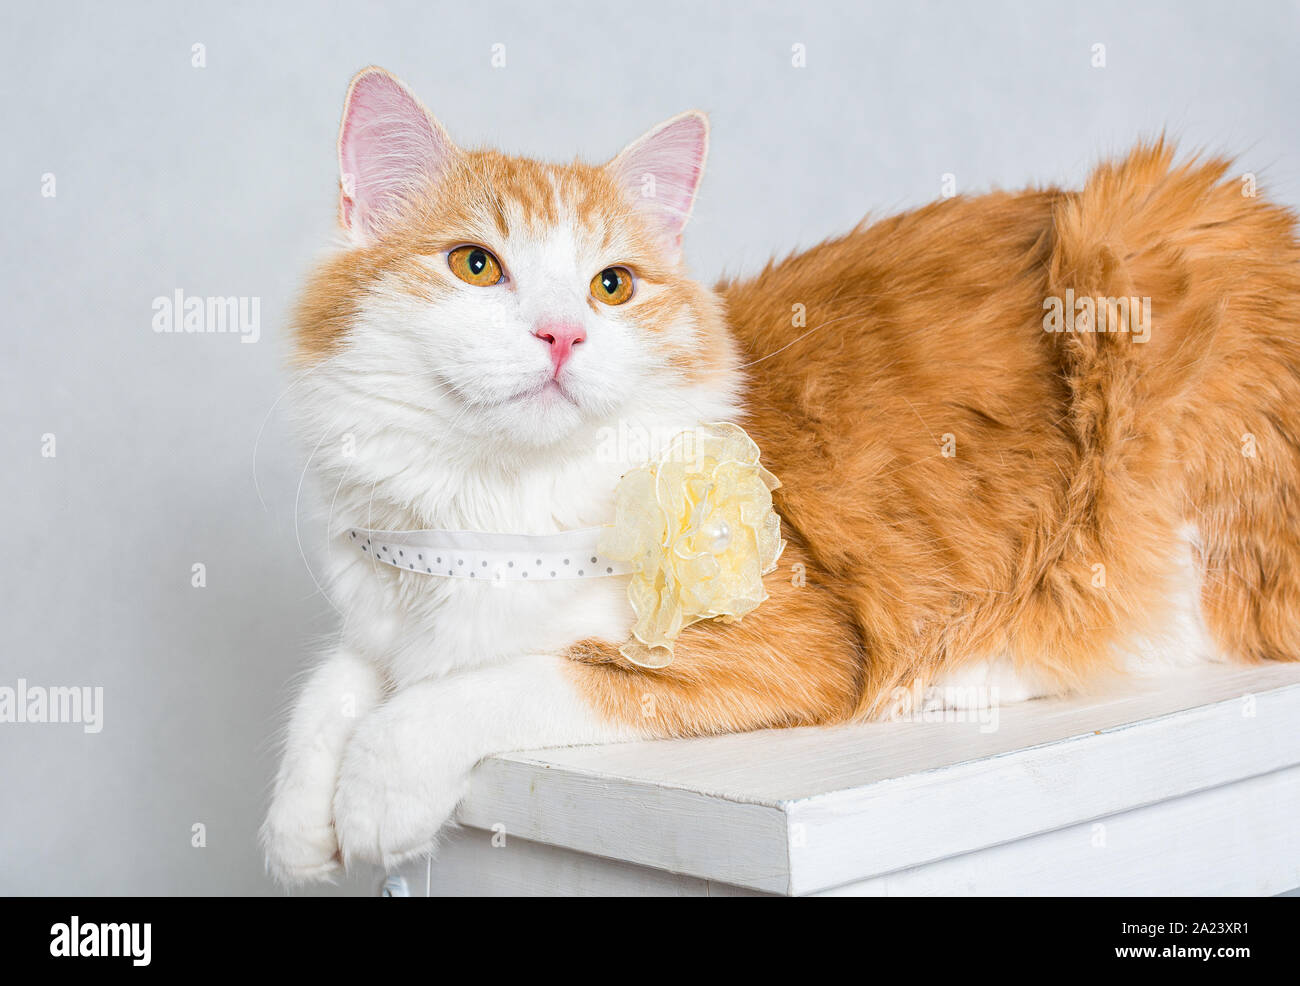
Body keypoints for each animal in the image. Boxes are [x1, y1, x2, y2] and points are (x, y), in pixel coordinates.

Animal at [261, 69, 1300, 889]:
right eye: (476, 265)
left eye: (612, 285)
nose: (562, 335)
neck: (488, 507)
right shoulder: (382, 602)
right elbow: (338, 681)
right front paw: (297, 818)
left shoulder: (783, 644)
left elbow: (501, 681)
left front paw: (378, 785)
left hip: (1135, 284)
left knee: (1171, 626)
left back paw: (970, 669)